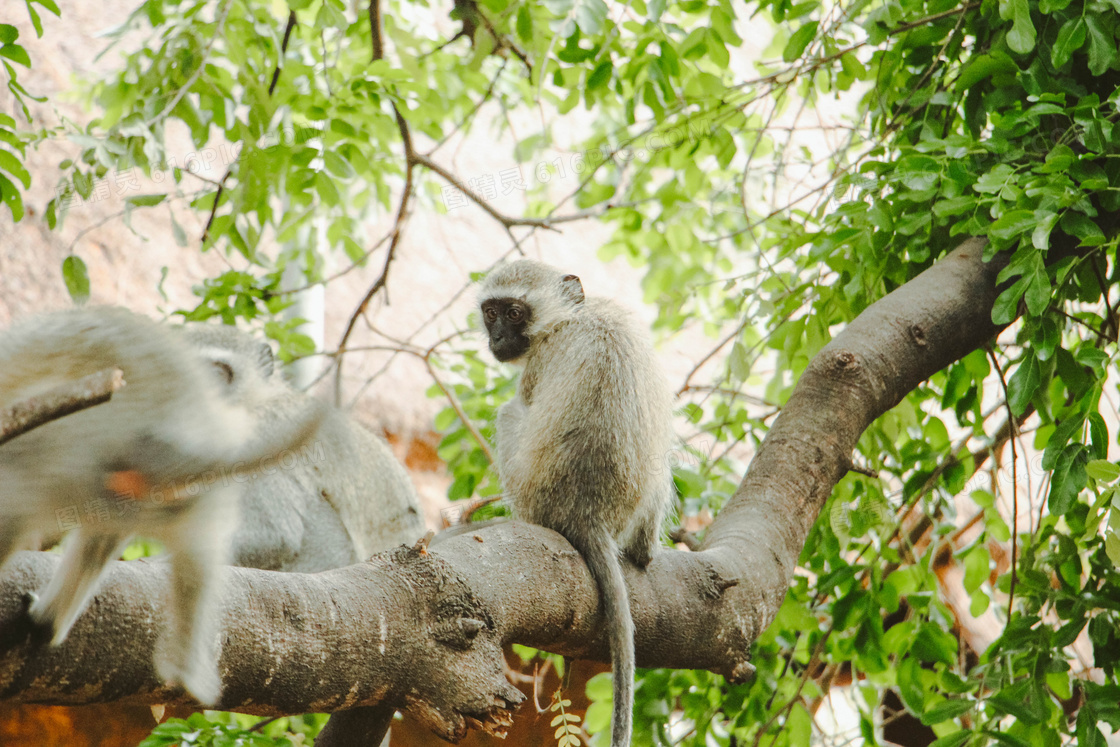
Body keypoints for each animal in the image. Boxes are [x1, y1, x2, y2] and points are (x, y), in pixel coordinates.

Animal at [479, 258, 676, 747]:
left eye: (514, 313)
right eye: (491, 313)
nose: (497, 338)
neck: (572, 316)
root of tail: (585, 513)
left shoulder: (537, 364)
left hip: (532, 495)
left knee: (508, 413)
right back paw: (644, 551)